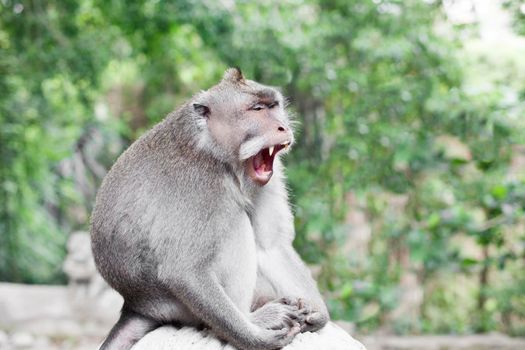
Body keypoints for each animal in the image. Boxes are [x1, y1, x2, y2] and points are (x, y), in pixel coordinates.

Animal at [89, 68, 328, 350]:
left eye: (274, 106)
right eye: (257, 109)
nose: (283, 126)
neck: (218, 154)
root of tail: (137, 305)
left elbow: (270, 245)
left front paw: (318, 314)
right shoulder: (199, 184)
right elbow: (184, 270)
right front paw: (258, 339)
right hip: (182, 309)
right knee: (235, 223)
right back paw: (252, 319)